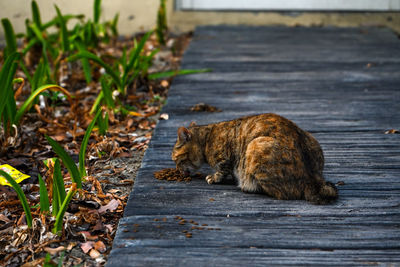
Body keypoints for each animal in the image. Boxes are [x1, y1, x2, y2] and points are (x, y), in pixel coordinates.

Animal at [172, 113, 338, 205]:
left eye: (176, 160)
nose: (177, 170)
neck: (206, 138)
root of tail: (313, 179)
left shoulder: (224, 159)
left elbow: (221, 170)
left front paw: (214, 177)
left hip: (255, 146)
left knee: (282, 193)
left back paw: (247, 186)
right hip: (311, 139)